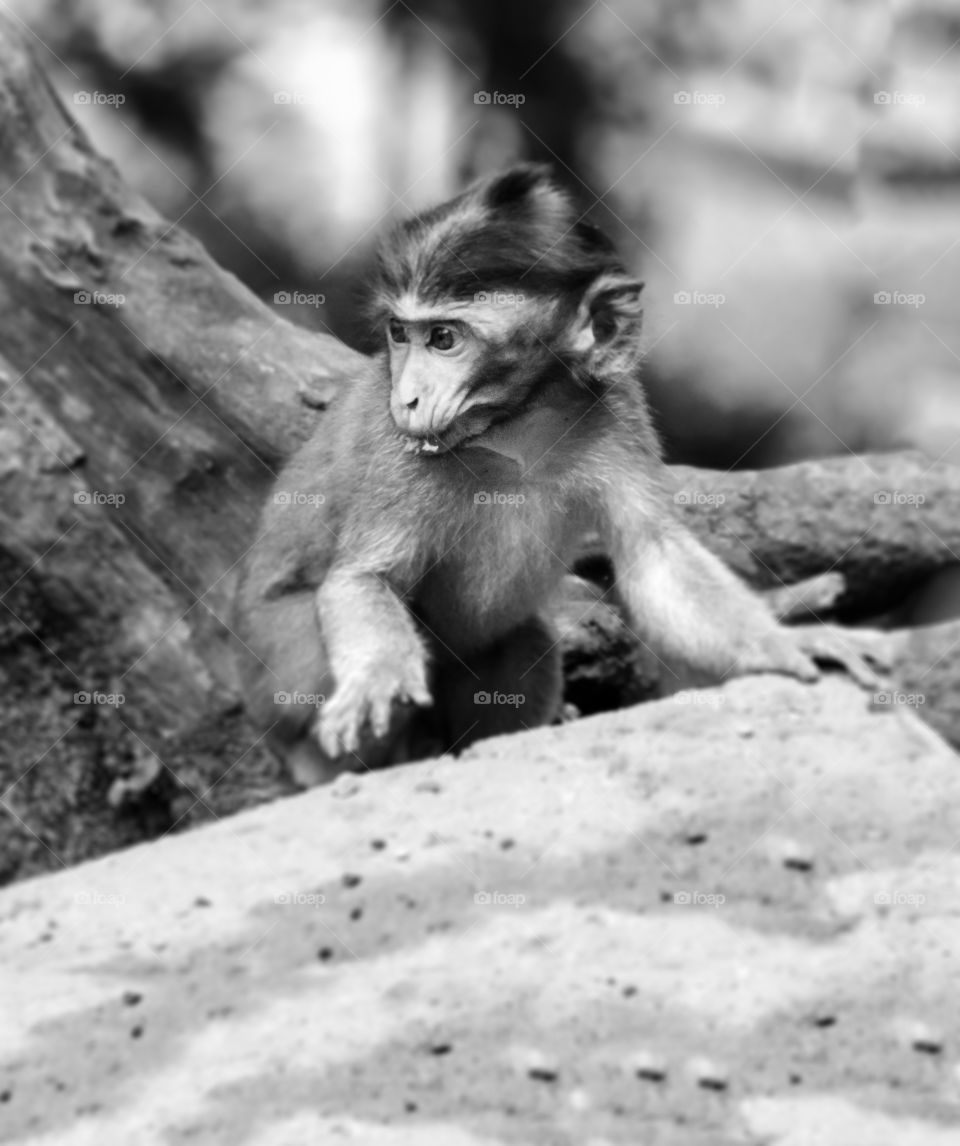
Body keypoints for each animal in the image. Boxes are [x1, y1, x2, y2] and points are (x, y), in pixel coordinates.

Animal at [234, 163, 875, 786]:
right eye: (399, 333)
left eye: (443, 338)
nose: (408, 397)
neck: (515, 425)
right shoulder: (401, 449)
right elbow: (365, 579)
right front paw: (379, 674)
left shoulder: (616, 411)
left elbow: (655, 556)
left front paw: (786, 641)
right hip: (276, 669)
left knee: (525, 642)